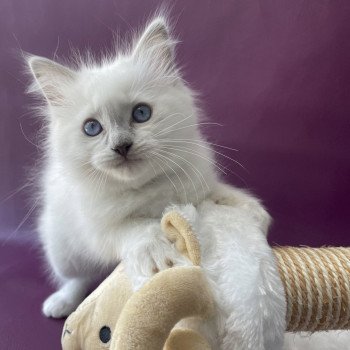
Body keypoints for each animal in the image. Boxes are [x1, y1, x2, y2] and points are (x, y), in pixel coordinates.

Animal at [27, 17, 274, 350]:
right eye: (92, 128)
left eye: (141, 113)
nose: (121, 146)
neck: (147, 189)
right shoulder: (99, 228)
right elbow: (136, 229)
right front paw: (159, 254)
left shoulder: (198, 187)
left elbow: (222, 195)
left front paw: (255, 214)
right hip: (63, 250)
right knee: (77, 279)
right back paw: (60, 303)